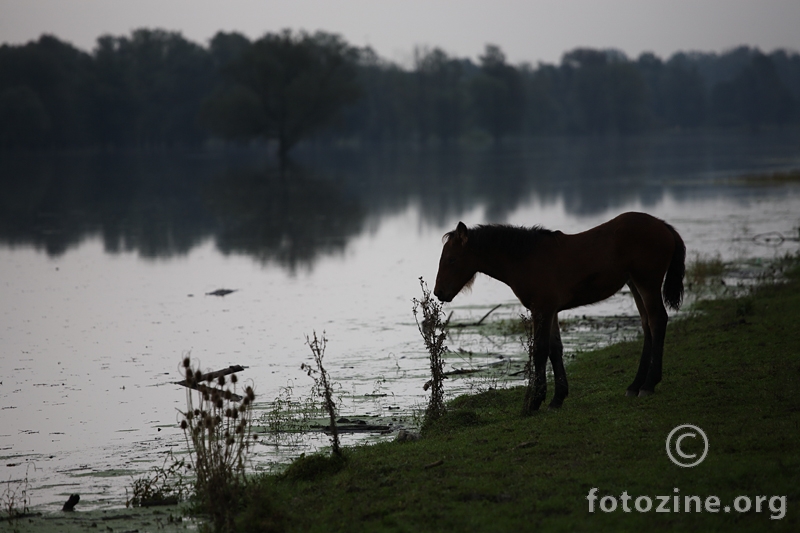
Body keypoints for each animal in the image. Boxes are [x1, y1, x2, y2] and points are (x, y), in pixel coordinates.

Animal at [434, 211, 684, 412]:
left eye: (452, 259)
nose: (439, 292)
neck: (526, 259)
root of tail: (664, 226)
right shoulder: (551, 310)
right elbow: (555, 349)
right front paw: (557, 399)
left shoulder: (542, 309)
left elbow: (540, 350)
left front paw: (534, 402)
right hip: (634, 284)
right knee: (647, 324)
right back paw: (635, 385)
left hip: (647, 283)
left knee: (657, 320)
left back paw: (649, 384)